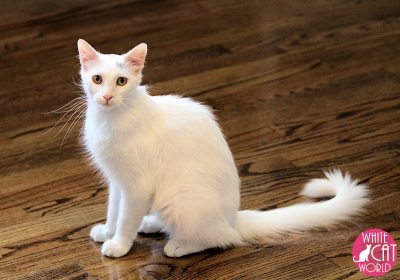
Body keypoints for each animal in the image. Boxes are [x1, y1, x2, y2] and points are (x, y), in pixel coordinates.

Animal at [76, 39, 370, 258]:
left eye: (121, 82)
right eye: (97, 79)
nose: (107, 97)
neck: (110, 120)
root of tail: (232, 217)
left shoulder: (137, 186)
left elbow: (126, 219)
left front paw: (119, 245)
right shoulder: (118, 182)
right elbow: (114, 211)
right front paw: (108, 232)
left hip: (181, 201)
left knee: (224, 239)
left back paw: (178, 245)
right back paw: (151, 224)